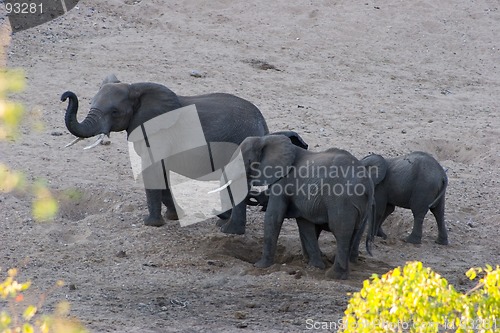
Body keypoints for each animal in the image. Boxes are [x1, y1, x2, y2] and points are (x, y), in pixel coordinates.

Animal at [62, 74, 272, 233]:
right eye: (91, 103)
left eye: (114, 112)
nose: (65, 96)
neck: (135, 88)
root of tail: (263, 124)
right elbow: (160, 173)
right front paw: (174, 217)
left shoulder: (157, 134)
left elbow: (152, 171)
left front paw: (151, 224)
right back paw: (223, 222)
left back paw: (228, 229)